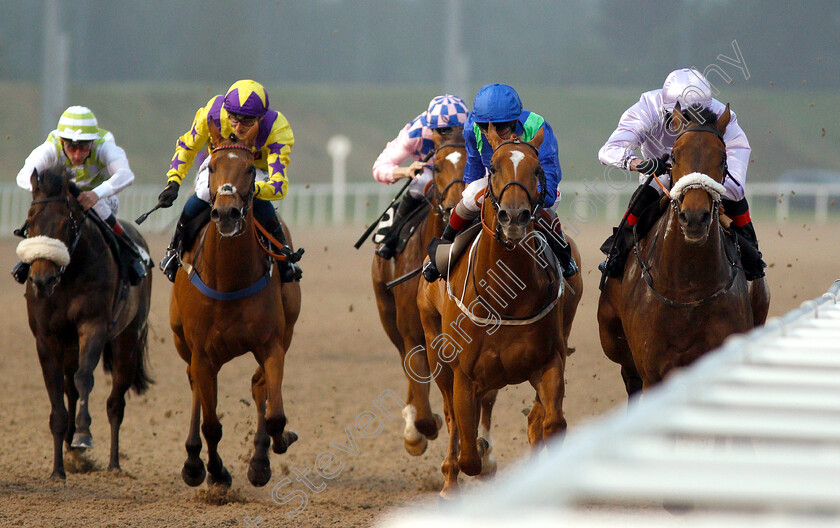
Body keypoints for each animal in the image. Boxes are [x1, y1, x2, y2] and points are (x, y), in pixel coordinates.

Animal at [18, 167, 153, 480]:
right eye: (31, 220)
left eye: (64, 223)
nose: (41, 280)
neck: (68, 277)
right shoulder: (46, 338)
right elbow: (57, 394)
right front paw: (58, 469)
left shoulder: (93, 325)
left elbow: (85, 377)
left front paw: (83, 435)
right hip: (69, 346)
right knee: (71, 390)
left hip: (127, 338)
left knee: (115, 403)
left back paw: (114, 464)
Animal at [168, 120, 302, 486]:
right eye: (212, 167)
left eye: (249, 169)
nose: (226, 212)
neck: (229, 279)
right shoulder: (202, 354)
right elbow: (211, 424)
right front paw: (214, 471)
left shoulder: (272, 344)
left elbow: (275, 414)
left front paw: (272, 449)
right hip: (182, 342)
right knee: (196, 389)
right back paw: (192, 461)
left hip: (288, 329)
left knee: (258, 388)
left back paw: (259, 458)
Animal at [418, 125, 584, 500]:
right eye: (492, 167)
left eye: (537, 170)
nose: (515, 216)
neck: (506, 296)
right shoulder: (464, 374)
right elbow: (468, 454)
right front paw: (472, 462)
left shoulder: (549, 361)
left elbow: (552, 423)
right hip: (437, 352)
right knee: (451, 416)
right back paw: (449, 480)